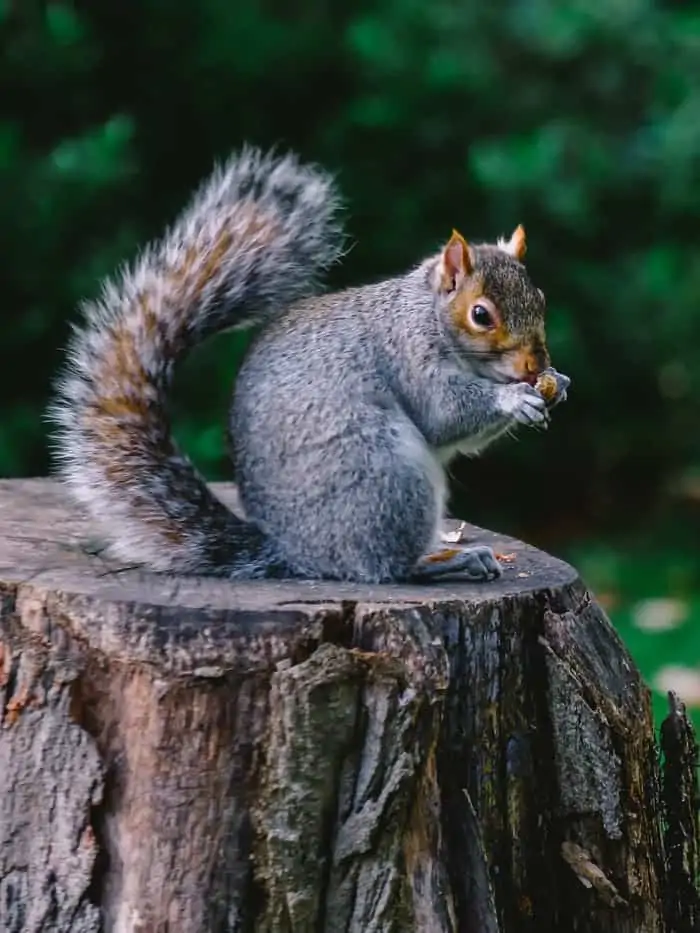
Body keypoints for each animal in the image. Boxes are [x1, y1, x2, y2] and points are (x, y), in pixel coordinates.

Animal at [52, 146, 572, 584]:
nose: (535, 364)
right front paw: (514, 398)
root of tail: (294, 554)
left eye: (542, 297)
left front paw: (557, 383)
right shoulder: (408, 356)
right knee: (384, 568)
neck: (426, 315)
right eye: (481, 315)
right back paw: (447, 561)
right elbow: (444, 415)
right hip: (386, 477)